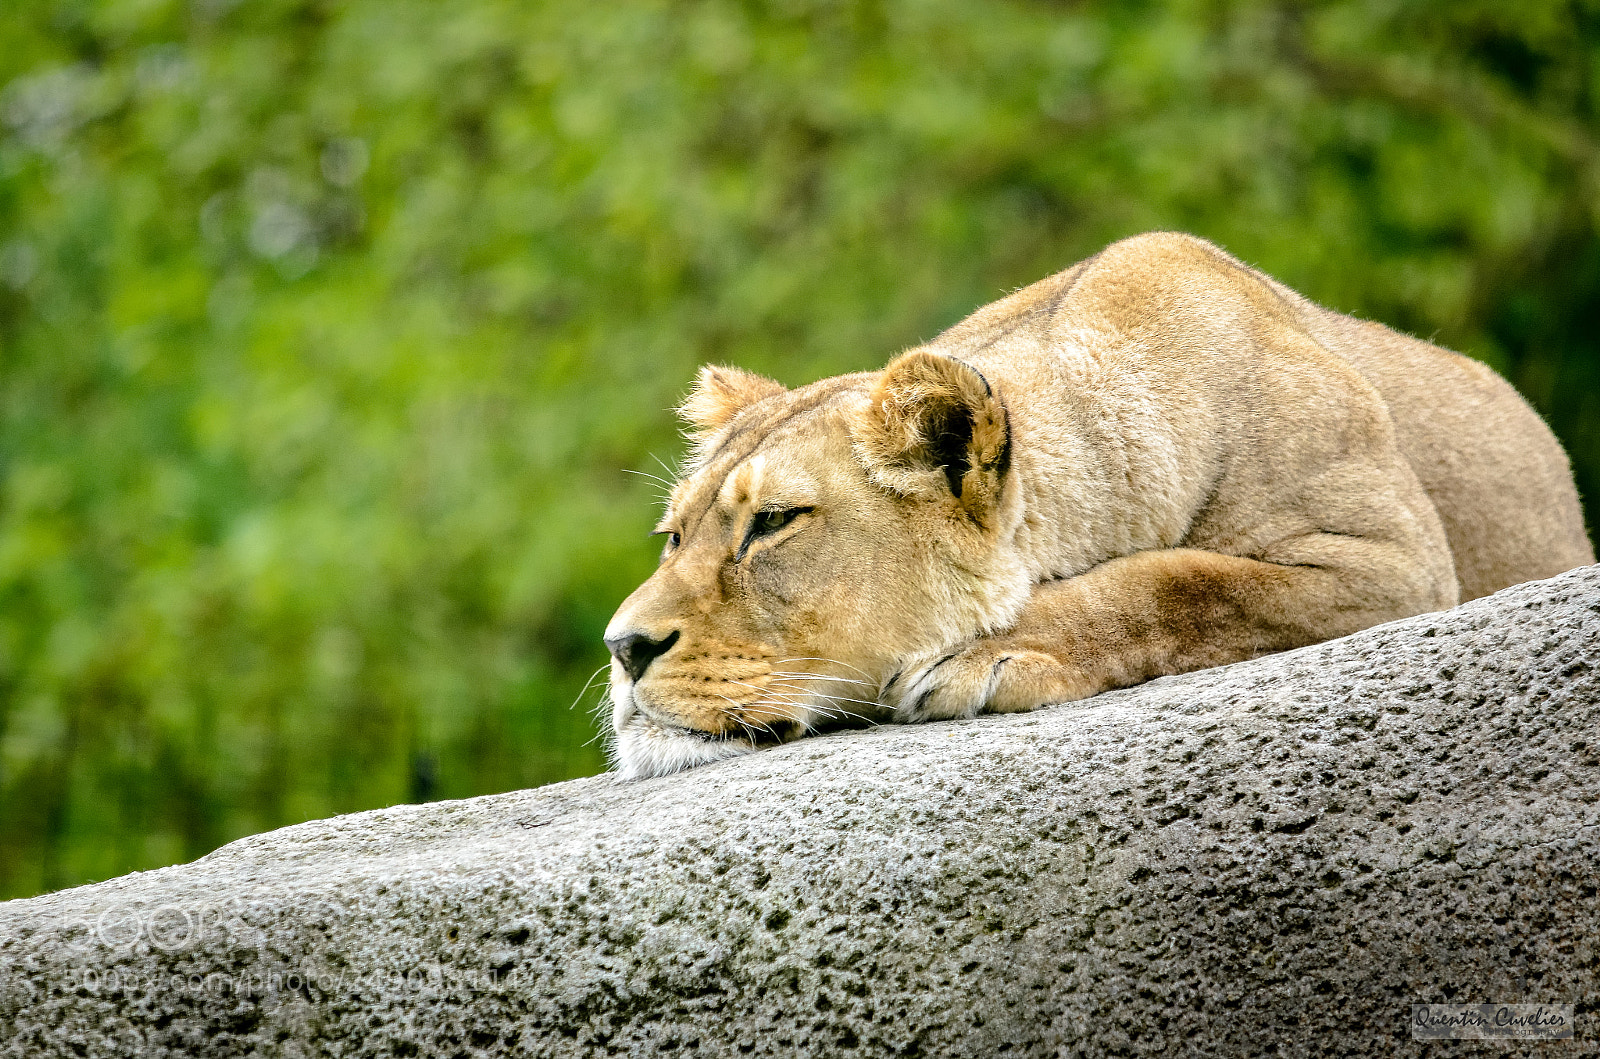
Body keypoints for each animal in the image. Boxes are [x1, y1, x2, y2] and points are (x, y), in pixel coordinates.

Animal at [603, 232, 1593, 780]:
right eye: (673, 535)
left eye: (773, 523)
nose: (622, 647)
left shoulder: (1398, 563)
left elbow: (1189, 579)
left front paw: (987, 650)